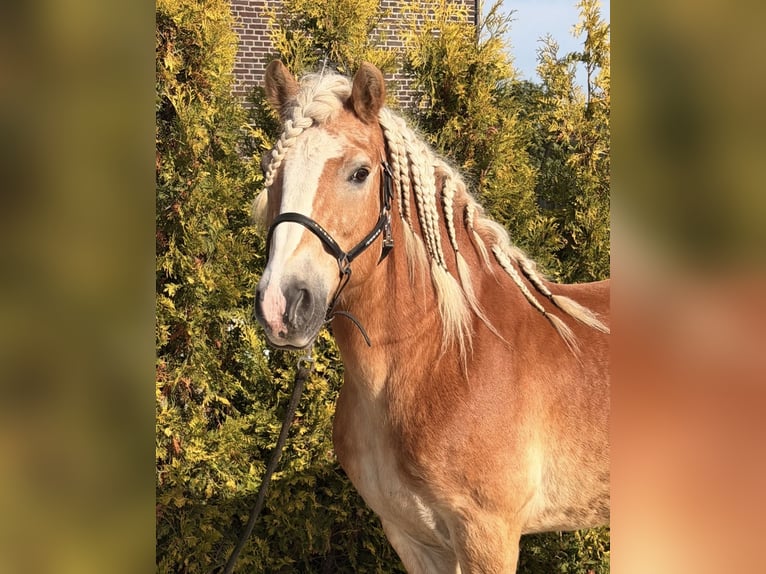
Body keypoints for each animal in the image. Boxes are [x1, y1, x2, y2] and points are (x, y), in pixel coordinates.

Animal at [253, 60, 610, 573]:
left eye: (360, 173)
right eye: (270, 170)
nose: (280, 305)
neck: (440, 357)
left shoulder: (488, 536)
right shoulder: (414, 538)